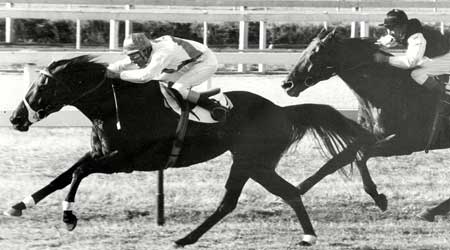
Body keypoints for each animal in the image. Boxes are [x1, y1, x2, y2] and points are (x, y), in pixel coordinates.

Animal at [5, 55, 372, 246]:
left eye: (43, 84)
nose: (15, 118)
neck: (115, 107)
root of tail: (282, 110)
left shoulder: (123, 161)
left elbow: (77, 174)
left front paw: (68, 217)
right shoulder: (99, 154)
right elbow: (61, 177)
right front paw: (18, 205)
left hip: (252, 161)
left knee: (246, 199)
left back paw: (187, 238)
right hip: (255, 163)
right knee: (278, 194)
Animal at [282, 28, 450, 222]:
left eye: (315, 53)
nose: (287, 84)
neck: (391, 92)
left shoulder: (405, 143)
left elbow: (360, 156)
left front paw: (378, 197)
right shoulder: (368, 135)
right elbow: (339, 159)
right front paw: (295, 191)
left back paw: (432, 210)